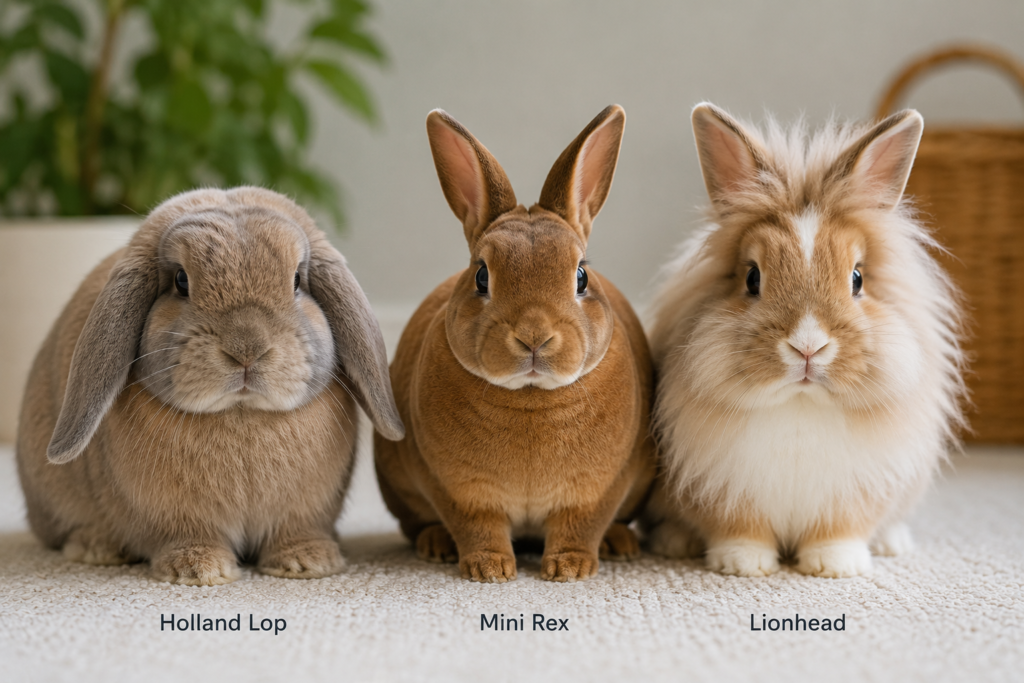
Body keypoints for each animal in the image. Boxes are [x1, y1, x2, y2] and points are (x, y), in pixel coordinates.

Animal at [16, 186, 404, 586]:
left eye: (297, 280)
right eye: (181, 281)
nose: (246, 348)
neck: (241, 413)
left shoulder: (305, 512)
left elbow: (296, 532)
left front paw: (308, 562)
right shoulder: (175, 517)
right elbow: (187, 536)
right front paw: (197, 569)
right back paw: (98, 548)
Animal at [374, 105, 656, 583]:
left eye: (581, 276)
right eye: (481, 276)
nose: (534, 337)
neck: (530, 395)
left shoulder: (599, 489)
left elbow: (581, 525)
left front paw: (570, 568)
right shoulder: (457, 489)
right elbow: (477, 527)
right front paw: (489, 569)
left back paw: (620, 543)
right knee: (417, 524)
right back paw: (436, 545)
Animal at [643, 103, 966, 578]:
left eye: (857, 279)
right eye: (752, 278)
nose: (808, 347)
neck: (801, 402)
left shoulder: (856, 492)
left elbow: (839, 530)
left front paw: (834, 565)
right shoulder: (723, 487)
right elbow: (739, 527)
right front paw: (743, 563)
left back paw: (893, 543)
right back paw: (672, 542)